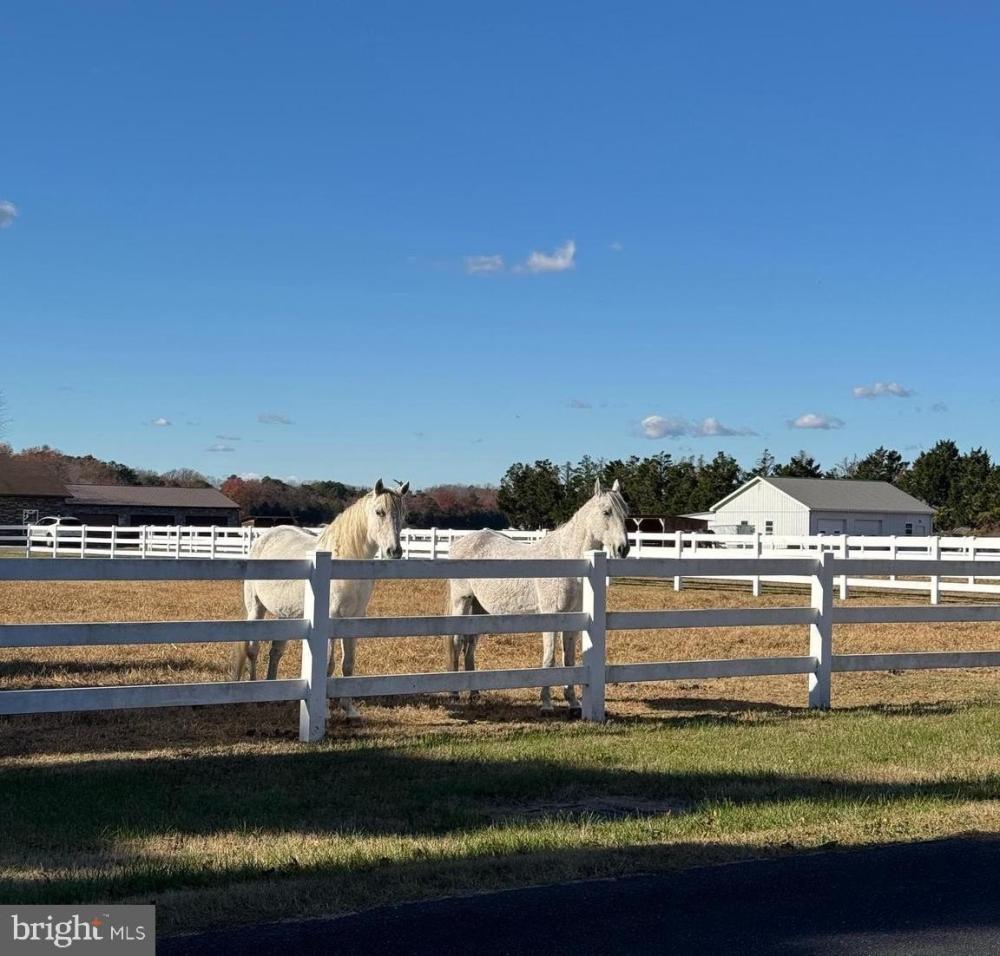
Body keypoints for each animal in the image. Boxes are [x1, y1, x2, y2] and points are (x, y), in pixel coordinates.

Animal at [232, 478, 408, 716]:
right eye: (379, 512)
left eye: (403, 514)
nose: (394, 551)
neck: (343, 561)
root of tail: (266, 536)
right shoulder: (330, 618)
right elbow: (327, 665)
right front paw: (324, 711)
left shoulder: (353, 619)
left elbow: (348, 663)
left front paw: (348, 710)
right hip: (256, 608)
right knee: (253, 649)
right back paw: (255, 693)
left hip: (286, 614)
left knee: (275, 651)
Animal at [448, 482, 628, 712]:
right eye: (606, 512)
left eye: (626, 513)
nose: (623, 548)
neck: (567, 558)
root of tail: (461, 541)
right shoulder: (551, 616)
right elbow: (550, 659)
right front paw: (546, 703)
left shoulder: (573, 619)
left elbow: (569, 659)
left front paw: (573, 702)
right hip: (461, 601)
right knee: (456, 641)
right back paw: (454, 694)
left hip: (479, 609)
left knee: (470, 645)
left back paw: (474, 694)